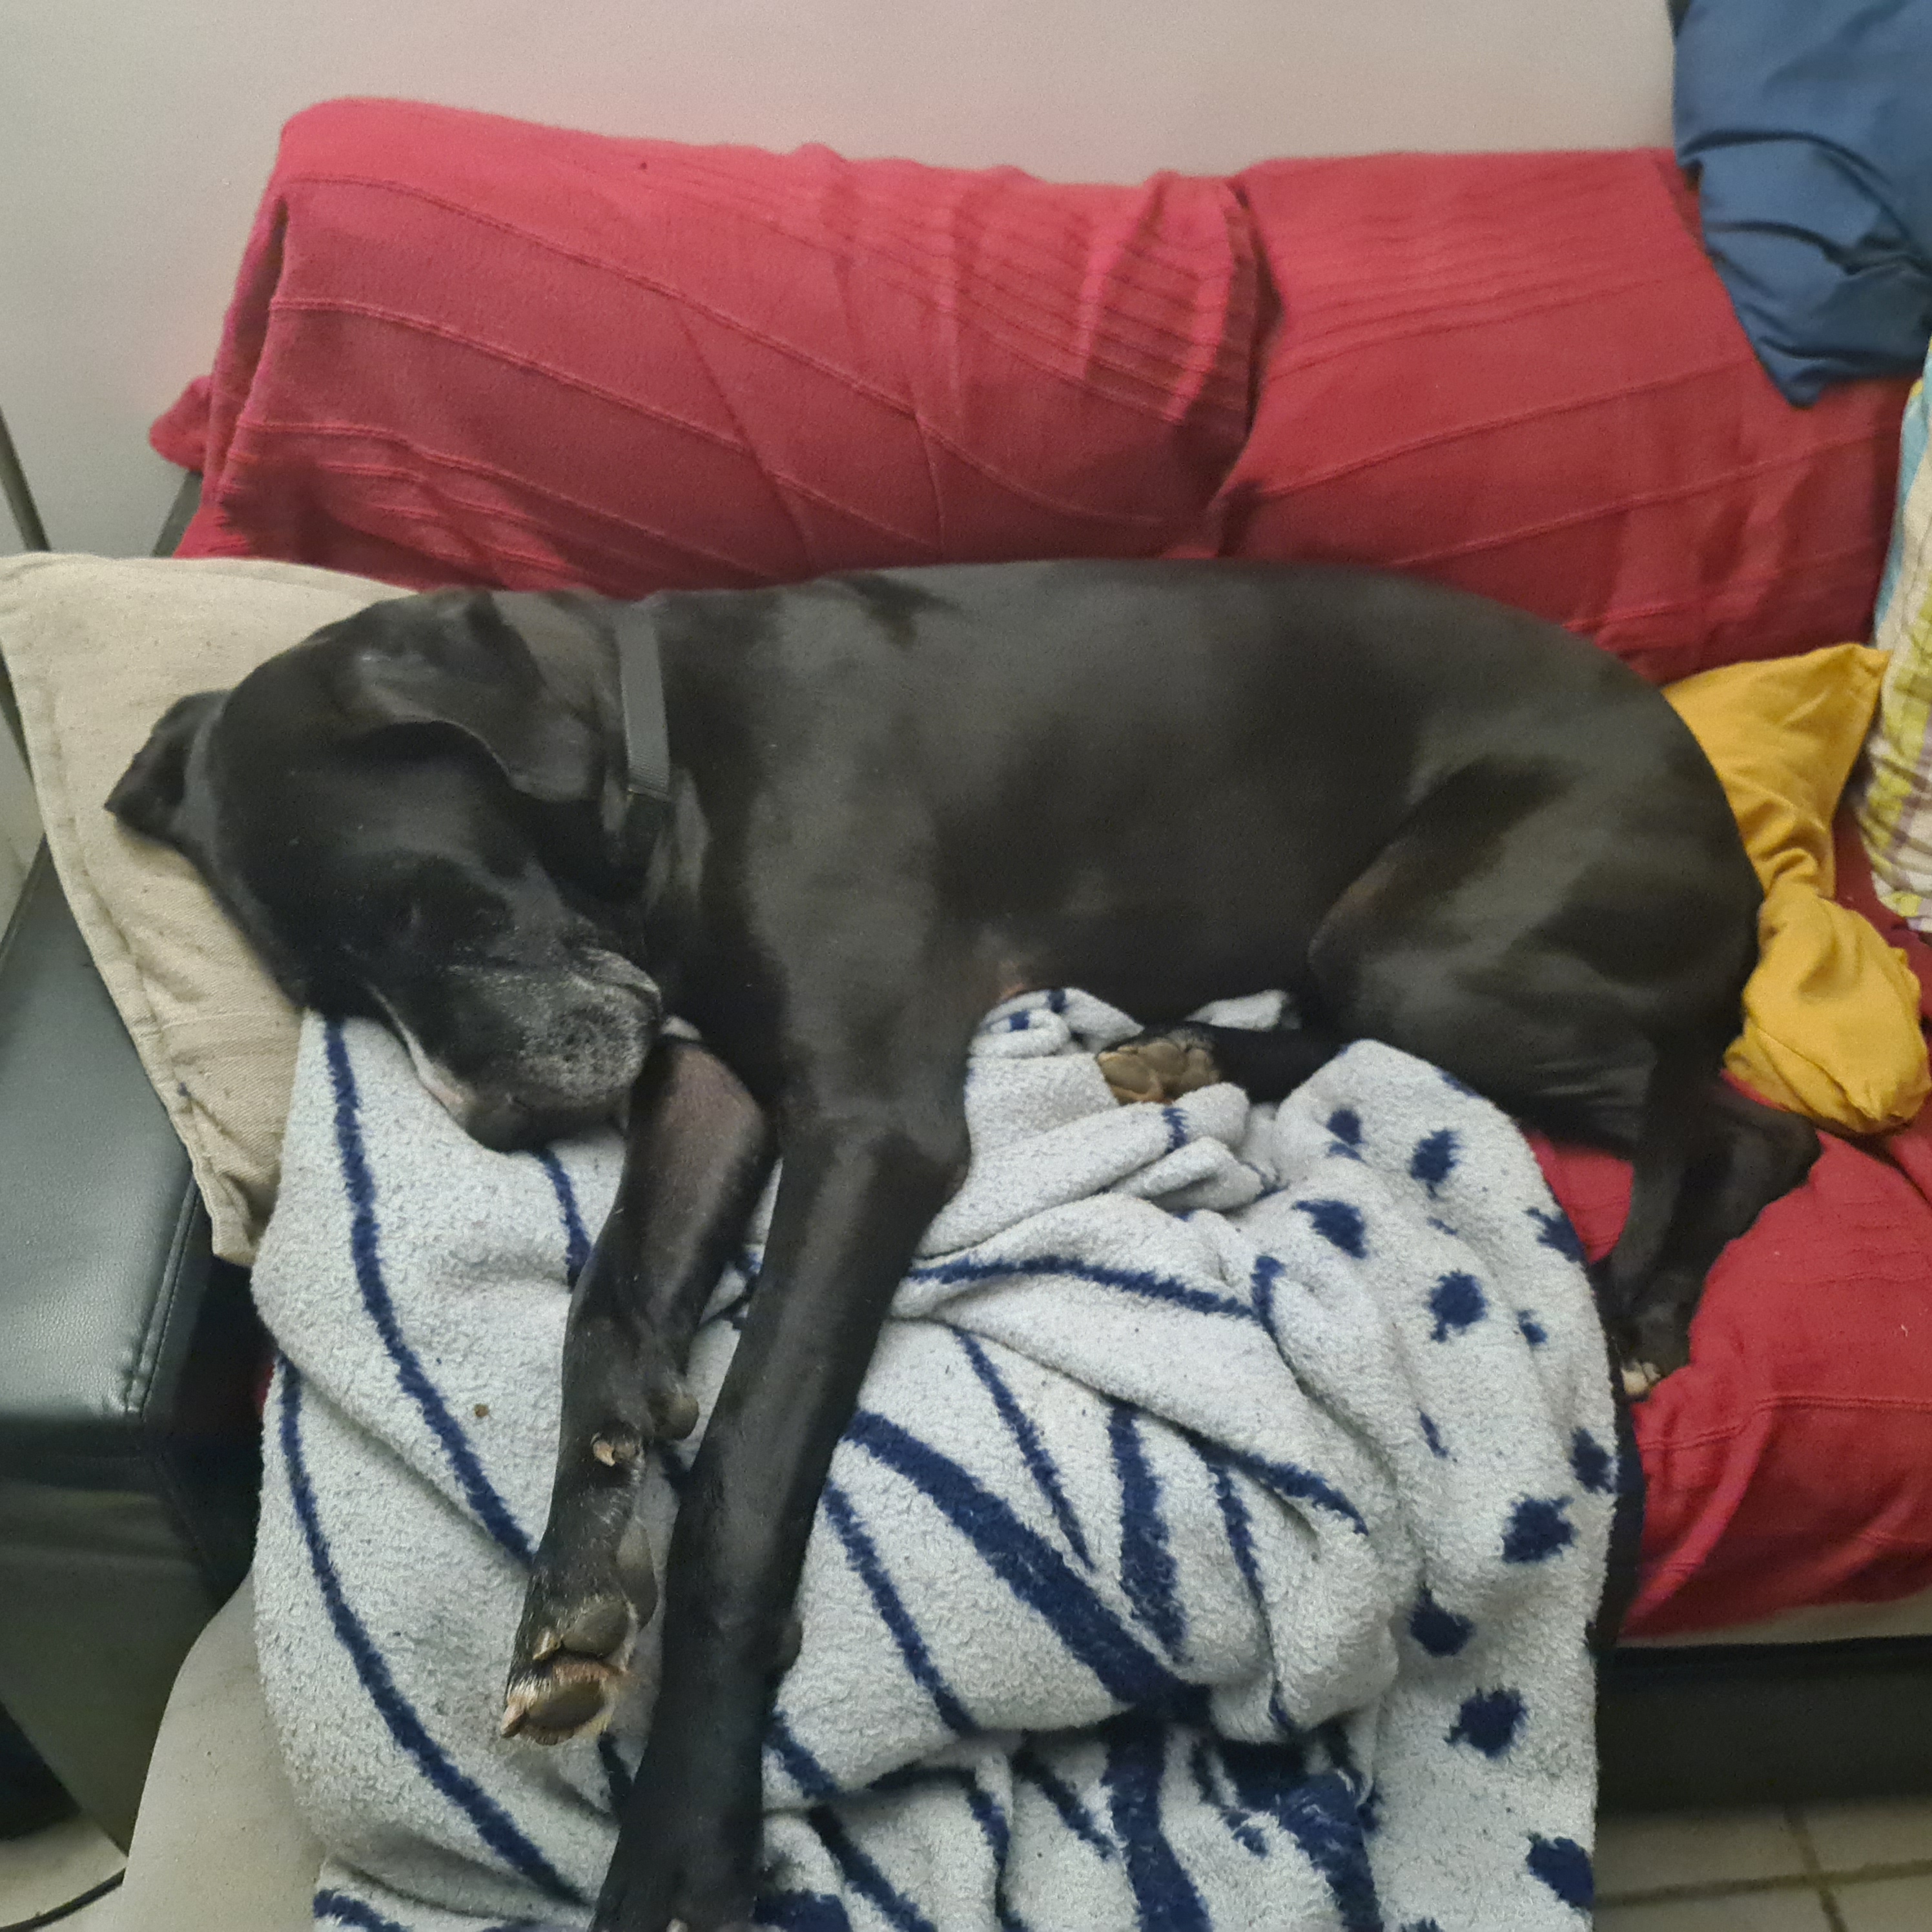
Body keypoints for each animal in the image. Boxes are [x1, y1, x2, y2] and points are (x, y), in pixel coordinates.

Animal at [109, 559, 1818, 1932]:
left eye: (428, 909)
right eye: (332, 991)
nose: (500, 1123)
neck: (664, 759)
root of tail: (1720, 822)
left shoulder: (872, 1124)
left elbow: (741, 1487)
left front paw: (683, 1838)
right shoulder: (719, 1084)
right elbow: (607, 1310)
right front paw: (574, 1584)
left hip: (1430, 948)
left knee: (1743, 1124)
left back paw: (1636, 1304)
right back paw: (1190, 1058)